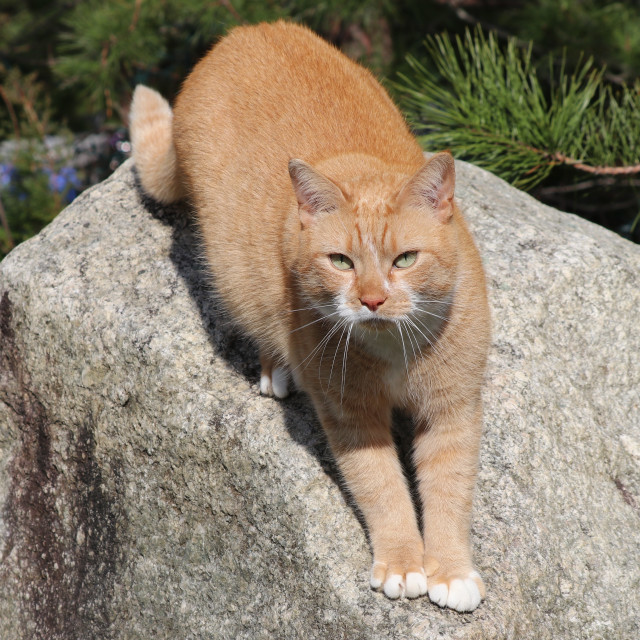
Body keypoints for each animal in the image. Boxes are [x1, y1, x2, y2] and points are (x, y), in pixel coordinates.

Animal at [130, 20, 490, 612]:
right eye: (341, 261)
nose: (371, 300)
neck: (391, 346)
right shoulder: (352, 417)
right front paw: (403, 563)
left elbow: (449, 492)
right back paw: (278, 368)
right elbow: (383, 489)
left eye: (405, 259)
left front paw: (451, 571)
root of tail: (243, 31)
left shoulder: (452, 410)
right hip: (234, 269)